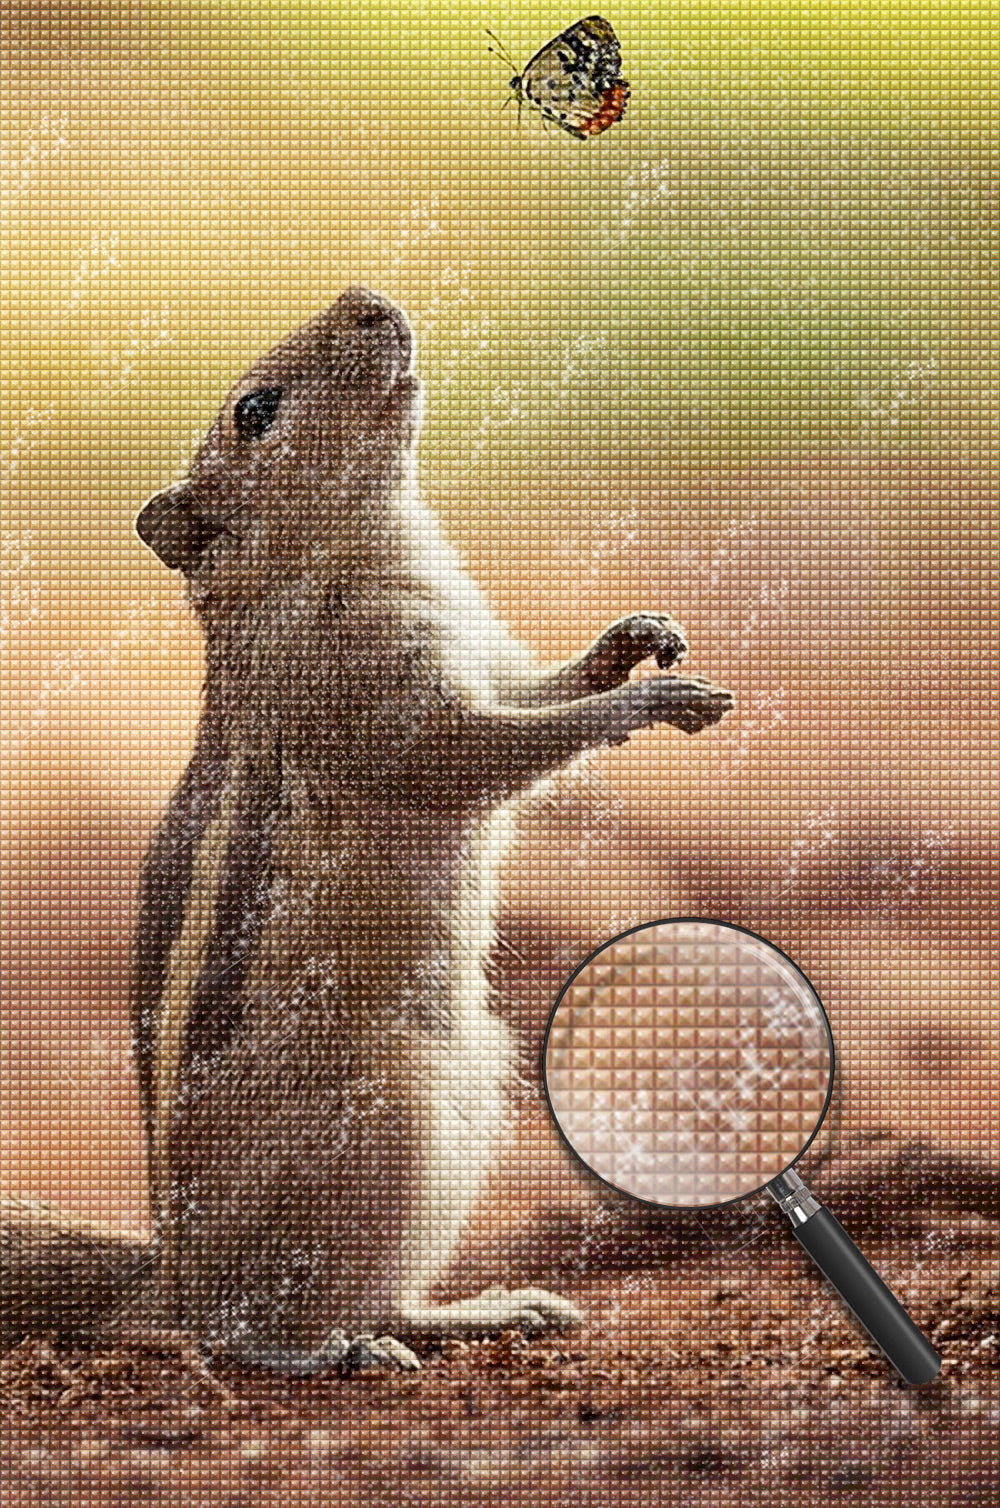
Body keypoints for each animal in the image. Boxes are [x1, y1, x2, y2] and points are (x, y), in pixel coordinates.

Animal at [1, 289, 734, 1372]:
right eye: (254, 411)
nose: (368, 300)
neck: (362, 541)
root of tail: (169, 1270)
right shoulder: (387, 708)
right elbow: (482, 754)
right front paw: (652, 698)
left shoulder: (484, 656)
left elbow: (542, 688)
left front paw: (634, 640)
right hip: (398, 1111)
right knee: (238, 1331)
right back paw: (333, 1350)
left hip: (474, 1088)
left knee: (378, 1295)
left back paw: (485, 1309)